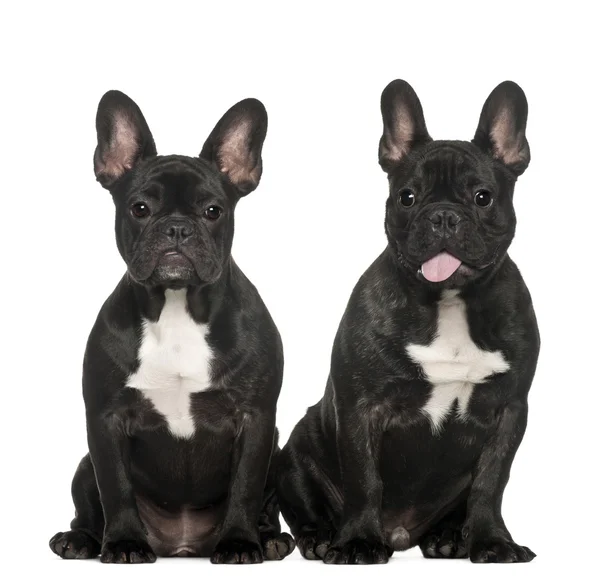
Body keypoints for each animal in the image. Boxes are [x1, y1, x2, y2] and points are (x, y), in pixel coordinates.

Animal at [50, 90, 294, 560]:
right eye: (140, 209)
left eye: (213, 210)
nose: (177, 228)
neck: (178, 306)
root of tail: (181, 544)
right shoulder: (106, 419)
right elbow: (116, 487)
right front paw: (124, 541)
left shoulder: (256, 420)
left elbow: (245, 486)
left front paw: (240, 542)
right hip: (83, 465)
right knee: (89, 504)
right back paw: (81, 539)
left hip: (277, 450)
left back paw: (270, 538)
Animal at [276, 80, 540, 564]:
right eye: (408, 197)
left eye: (483, 197)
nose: (443, 215)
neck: (449, 301)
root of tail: (402, 534)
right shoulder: (361, 407)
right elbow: (365, 479)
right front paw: (358, 541)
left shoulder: (509, 410)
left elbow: (491, 482)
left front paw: (492, 541)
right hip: (297, 450)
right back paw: (323, 537)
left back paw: (450, 537)